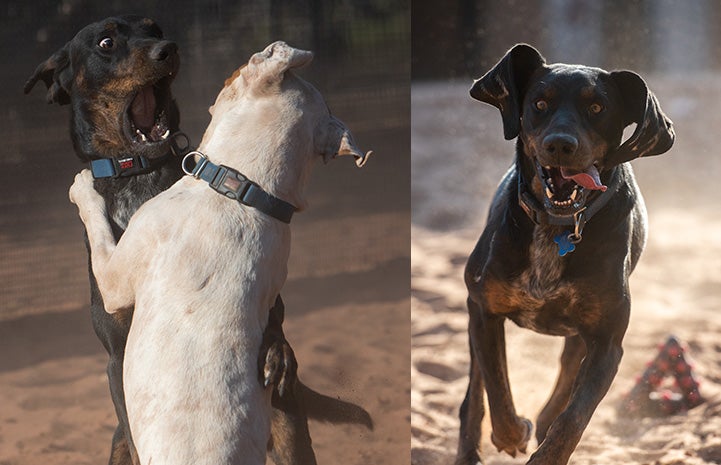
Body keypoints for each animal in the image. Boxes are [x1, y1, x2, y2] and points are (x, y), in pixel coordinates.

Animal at [25, 13, 368, 464]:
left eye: (154, 29)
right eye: (106, 42)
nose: (168, 48)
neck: (242, 189)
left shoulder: (115, 277)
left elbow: (96, 222)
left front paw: (83, 188)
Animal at [456, 44, 676, 464]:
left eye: (597, 107)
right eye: (540, 103)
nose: (560, 144)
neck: (557, 226)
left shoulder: (607, 342)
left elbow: (573, 417)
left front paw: (545, 446)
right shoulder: (484, 310)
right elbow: (496, 385)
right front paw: (511, 434)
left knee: (566, 376)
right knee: (474, 395)